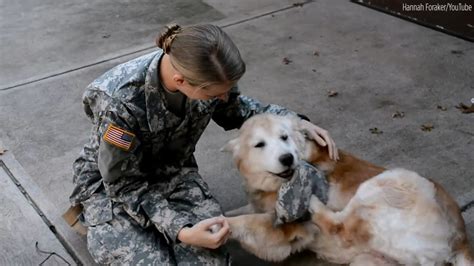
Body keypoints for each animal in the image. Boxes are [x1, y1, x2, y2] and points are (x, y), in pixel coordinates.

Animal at [220, 114, 472, 266]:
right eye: (259, 145)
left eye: (284, 137)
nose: (287, 158)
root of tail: (460, 238)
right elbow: (241, 210)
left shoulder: (284, 229)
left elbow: (245, 221)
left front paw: (218, 226)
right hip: (369, 260)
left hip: (390, 181)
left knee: (340, 227)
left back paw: (314, 203)